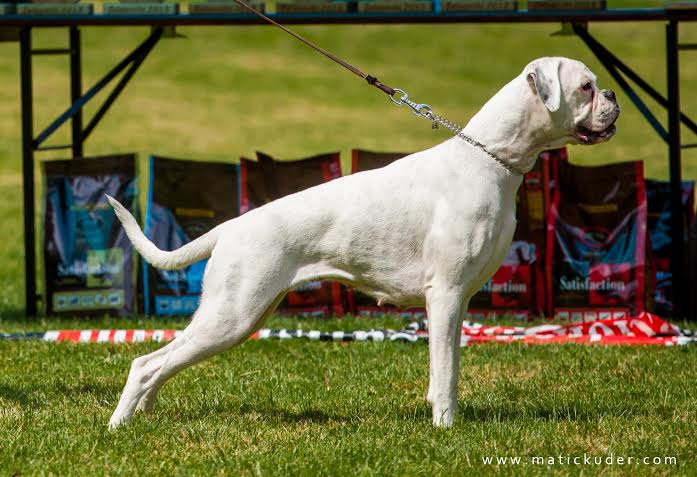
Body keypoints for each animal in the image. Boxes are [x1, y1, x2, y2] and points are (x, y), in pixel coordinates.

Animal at [107, 55, 620, 428]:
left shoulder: (457, 304)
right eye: (586, 87)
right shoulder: (445, 294)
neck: (489, 160)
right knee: (145, 364)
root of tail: (230, 228)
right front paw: (446, 429)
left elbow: (448, 367)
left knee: (163, 363)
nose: (613, 95)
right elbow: (445, 373)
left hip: (241, 316)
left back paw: (143, 414)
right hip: (231, 317)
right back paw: (119, 426)